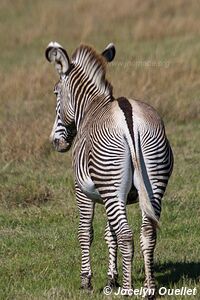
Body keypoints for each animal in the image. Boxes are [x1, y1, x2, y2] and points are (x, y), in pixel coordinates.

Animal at [45, 41, 173, 298]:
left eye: (55, 92)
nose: (56, 142)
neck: (91, 108)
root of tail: (130, 119)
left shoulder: (83, 192)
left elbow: (86, 232)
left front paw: (87, 281)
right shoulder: (109, 195)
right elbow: (108, 233)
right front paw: (112, 278)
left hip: (112, 184)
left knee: (126, 235)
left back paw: (128, 289)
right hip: (152, 181)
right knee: (148, 232)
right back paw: (149, 289)